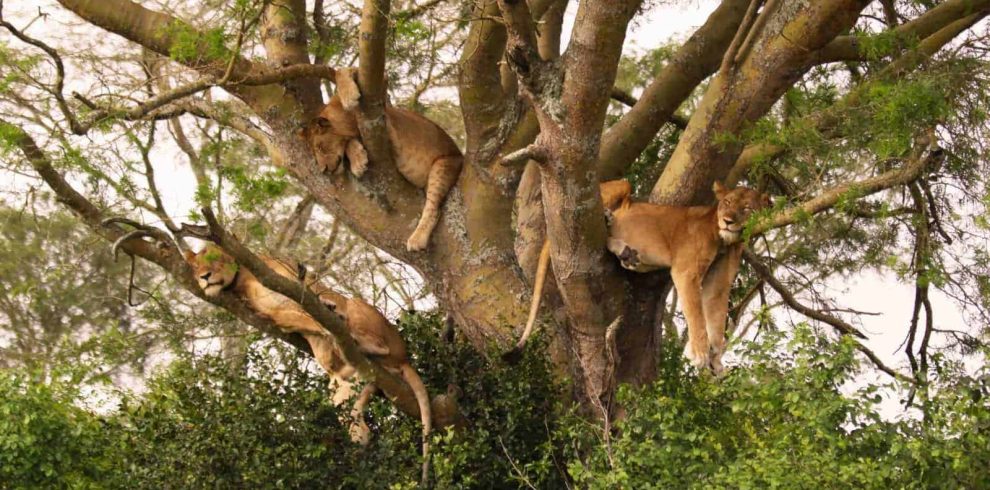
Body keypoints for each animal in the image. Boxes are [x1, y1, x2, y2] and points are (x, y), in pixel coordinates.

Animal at [183, 244, 432, 481]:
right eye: (195, 267)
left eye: (214, 259)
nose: (203, 276)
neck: (242, 278)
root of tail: (404, 357)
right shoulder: (276, 315)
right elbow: (305, 322)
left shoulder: (294, 287)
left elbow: (314, 309)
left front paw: (328, 313)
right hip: (352, 388)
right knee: (349, 407)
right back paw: (358, 434)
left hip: (359, 308)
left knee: (378, 343)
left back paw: (353, 336)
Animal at [300, 68, 463, 252]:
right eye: (315, 152)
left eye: (320, 147)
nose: (324, 170)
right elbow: (349, 142)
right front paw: (358, 161)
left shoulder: (384, 111)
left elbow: (342, 71)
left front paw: (349, 96)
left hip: (443, 165)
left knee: (433, 208)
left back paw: (417, 239)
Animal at [606, 181, 770, 373]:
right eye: (727, 202)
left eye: (746, 208)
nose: (728, 221)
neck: (725, 242)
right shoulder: (686, 272)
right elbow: (696, 313)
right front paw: (700, 353)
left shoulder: (719, 282)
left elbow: (717, 317)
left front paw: (716, 359)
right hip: (623, 185)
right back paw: (611, 224)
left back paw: (626, 254)